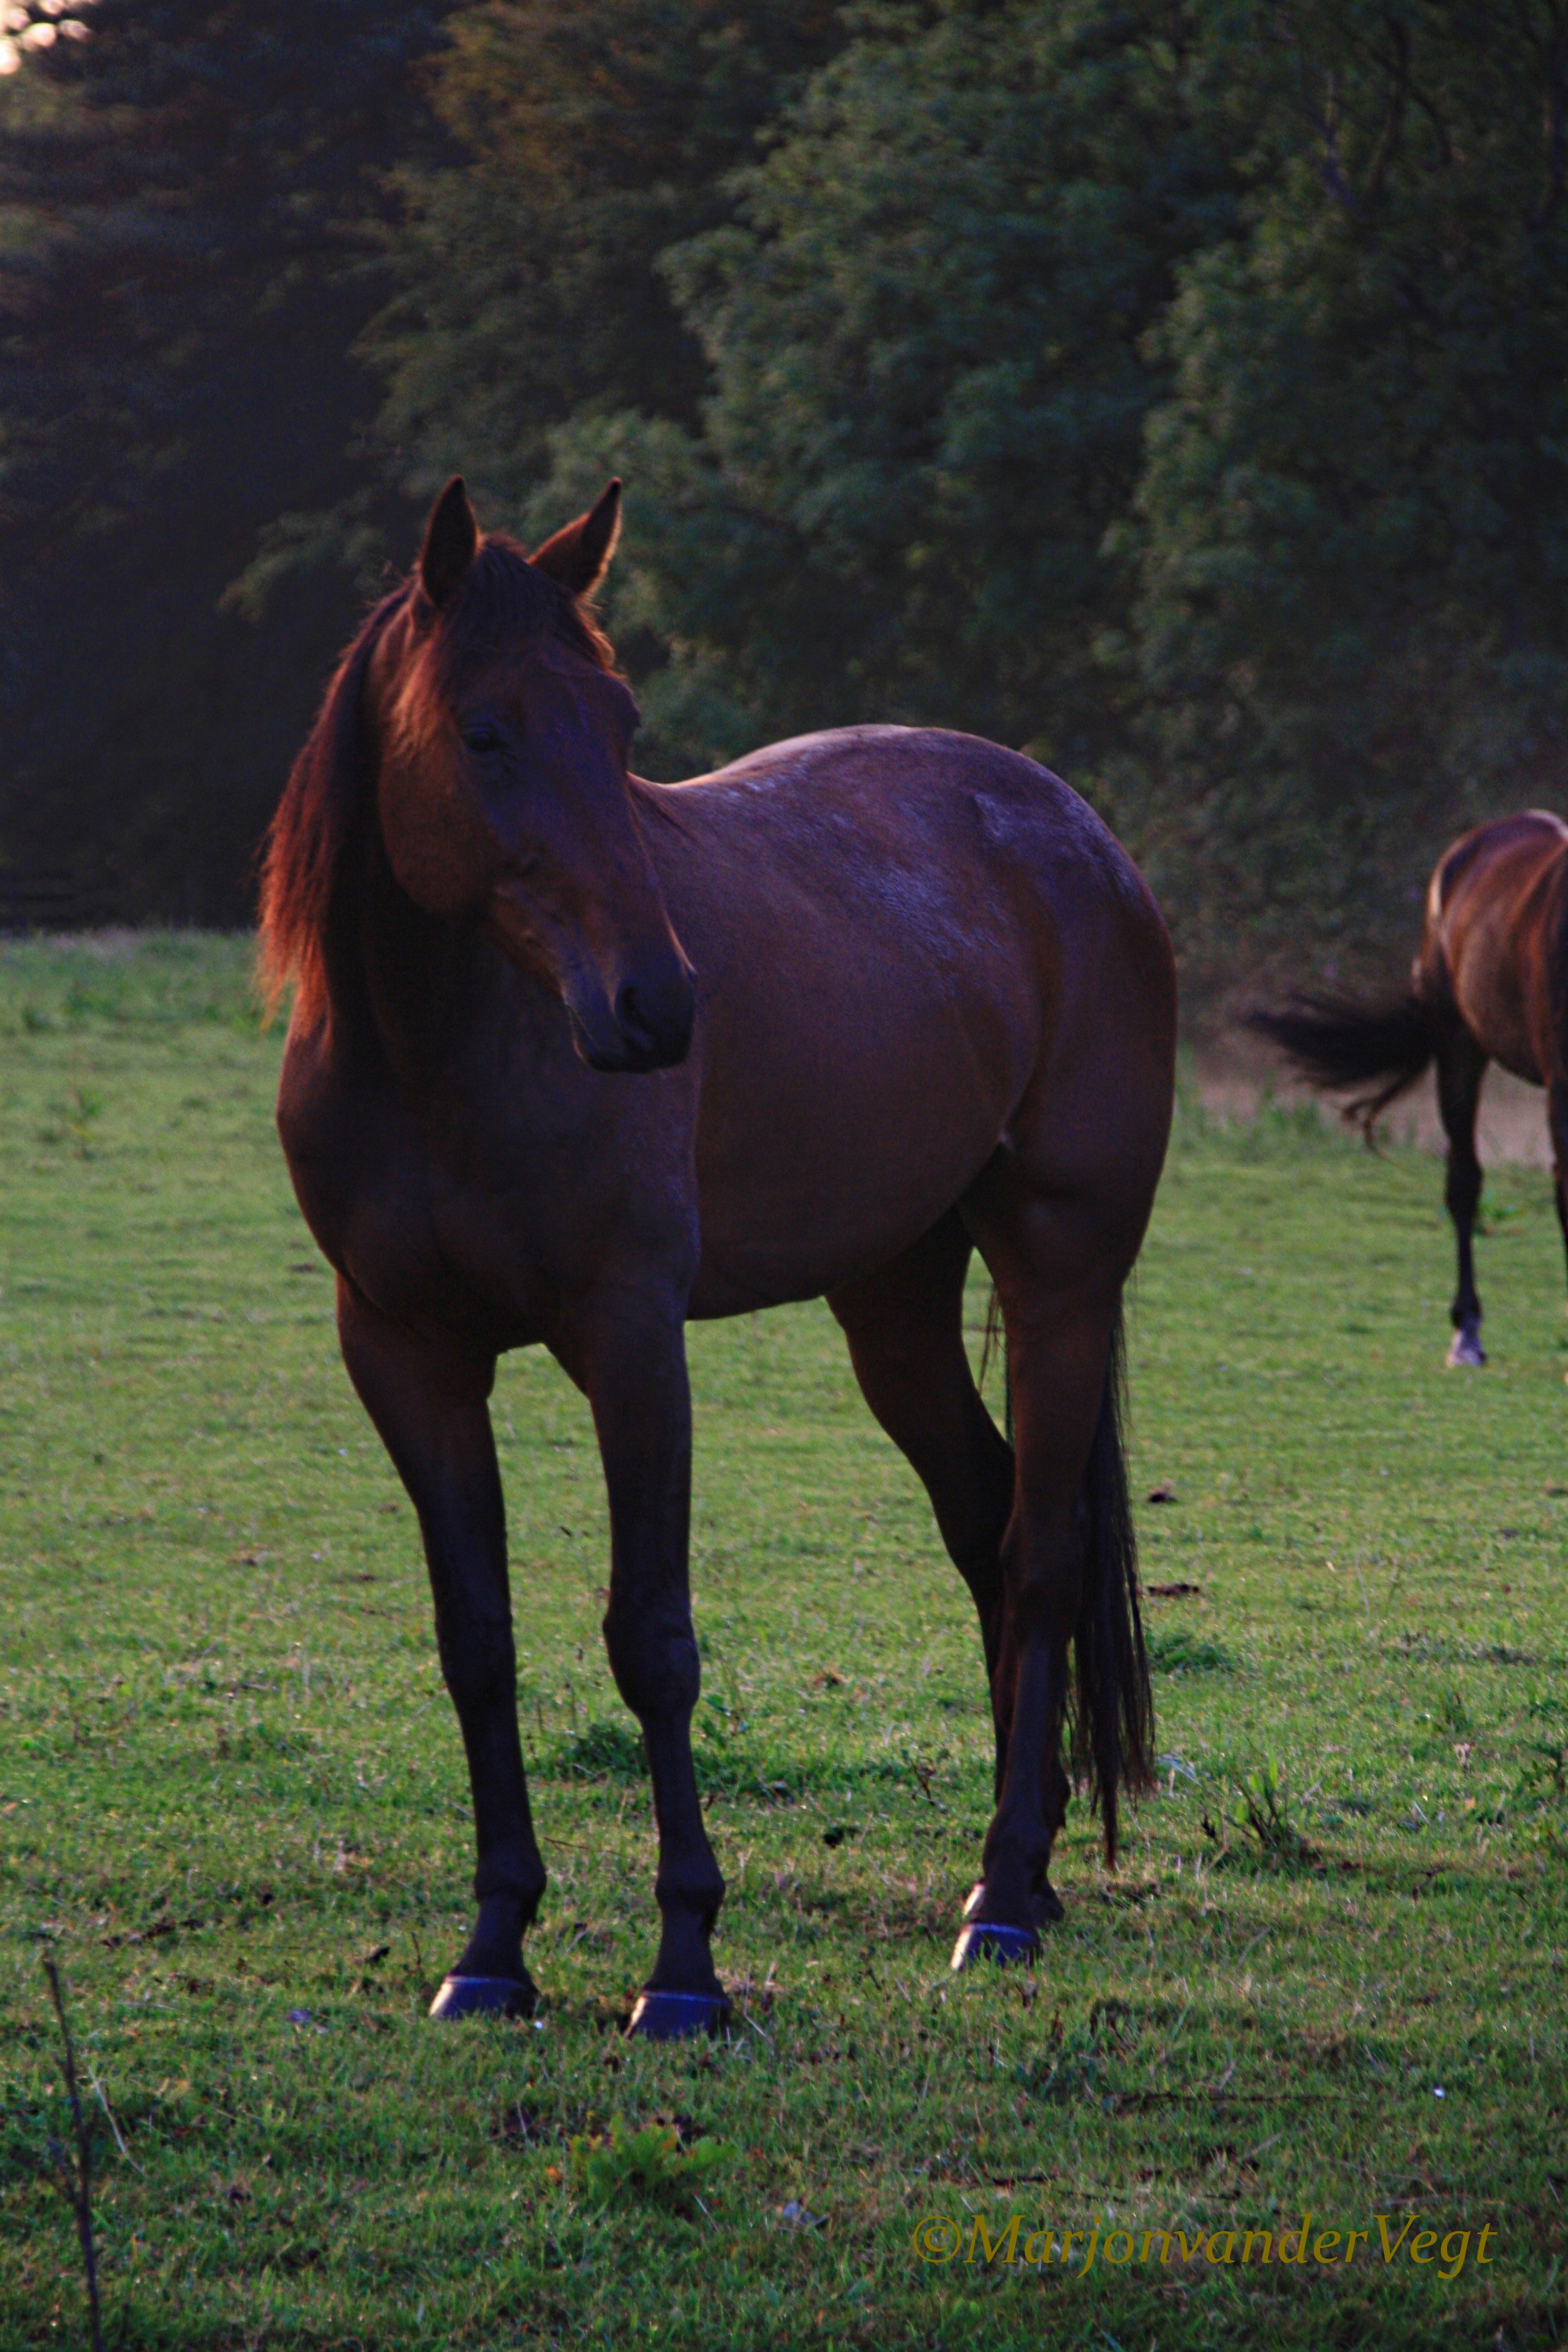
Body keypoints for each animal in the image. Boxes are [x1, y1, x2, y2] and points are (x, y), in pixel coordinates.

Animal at [259, 474, 1176, 2037]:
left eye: (621, 726)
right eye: (483, 732)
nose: (655, 1004)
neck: (443, 1058)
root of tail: (1083, 839)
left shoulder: (632, 1339)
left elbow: (653, 1640)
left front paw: (683, 1962)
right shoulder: (403, 1354)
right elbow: (476, 1642)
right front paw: (492, 1945)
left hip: (1062, 1277)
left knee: (1042, 1554)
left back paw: (1000, 1901)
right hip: (894, 1306)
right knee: (985, 1525)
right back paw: (1034, 1866)